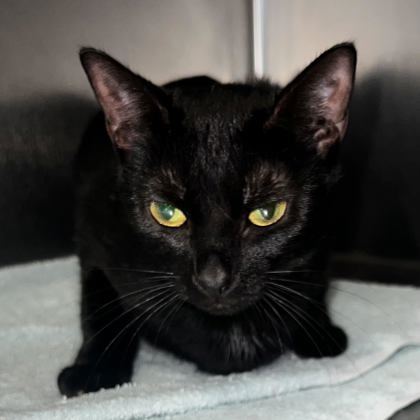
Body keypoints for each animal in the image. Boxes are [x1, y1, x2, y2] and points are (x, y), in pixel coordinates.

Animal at [57, 42, 356, 398]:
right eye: (166, 213)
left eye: (268, 212)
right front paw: (93, 369)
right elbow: (99, 301)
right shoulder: (93, 233)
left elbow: (316, 284)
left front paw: (319, 331)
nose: (213, 279)